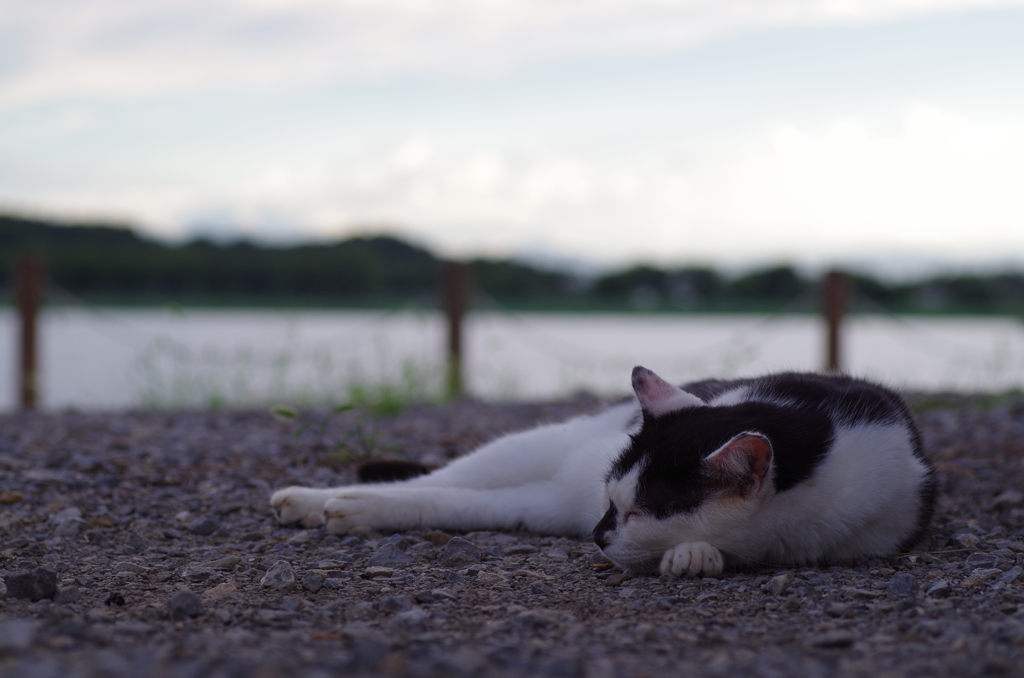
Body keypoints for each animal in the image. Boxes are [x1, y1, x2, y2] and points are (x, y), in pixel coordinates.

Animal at [270, 368, 937, 577]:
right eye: (613, 499)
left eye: (639, 511)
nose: (598, 533)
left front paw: (693, 555)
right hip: (530, 448)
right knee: (431, 482)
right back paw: (318, 499)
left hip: (533, 505)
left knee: (453, 501)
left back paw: (349, 510)